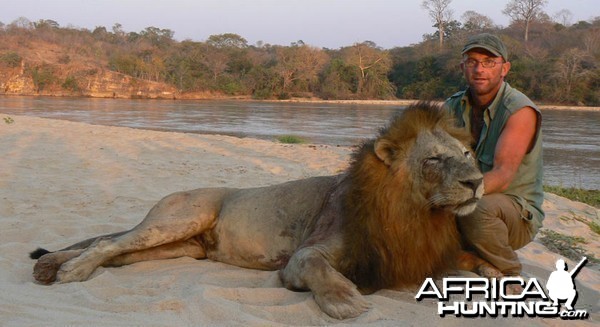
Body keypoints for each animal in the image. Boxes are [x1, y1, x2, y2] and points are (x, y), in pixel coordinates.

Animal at [29, 102, 496, 320]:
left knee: (117, 250)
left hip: (181, 249)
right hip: (179, 217)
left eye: (467, 153)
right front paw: (347, 302)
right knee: (107, 242)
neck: (415, 213)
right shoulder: (306, 254)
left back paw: (50, 266)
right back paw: (68, 271)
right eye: (434, 159)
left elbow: (475, 268)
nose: (476, 181)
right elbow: (319, 270)